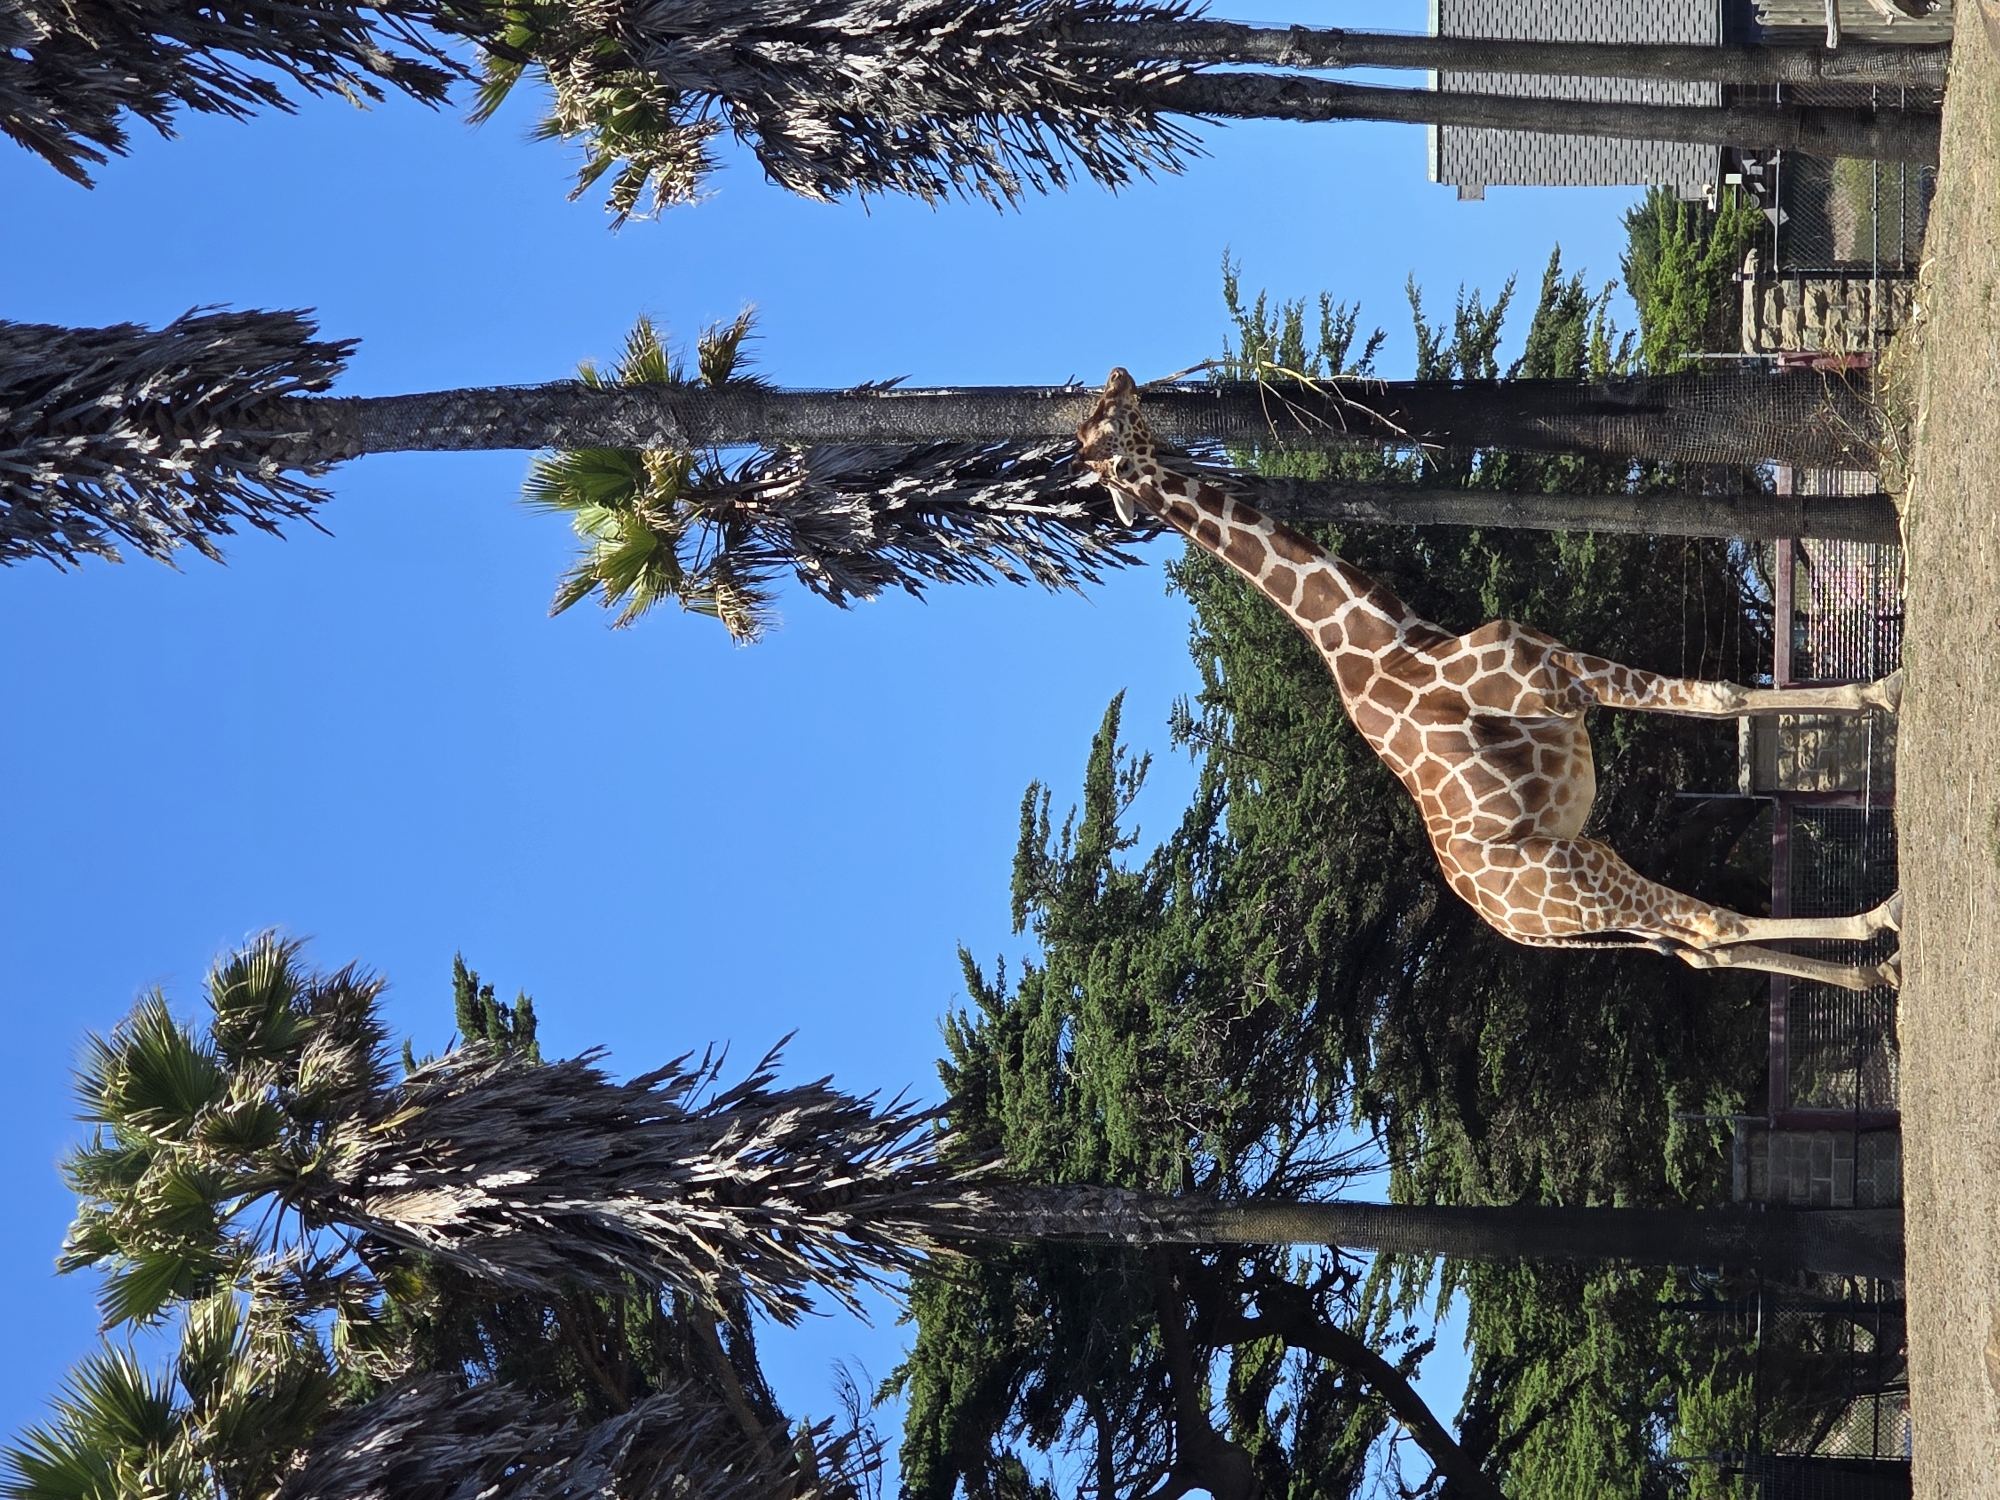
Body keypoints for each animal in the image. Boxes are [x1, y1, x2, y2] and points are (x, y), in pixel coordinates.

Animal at [1076, 369, 1903, 993]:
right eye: (1108, 429)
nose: (1118, 377)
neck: (1392, 640)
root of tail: (1516, 929)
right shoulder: (1562, 681)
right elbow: (1721, 695)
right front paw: (1892, 685)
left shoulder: (1561, 675)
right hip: (1578, 880)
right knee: (1710, 922)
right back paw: (1884, 925)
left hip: (1590, 879)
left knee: (1697, 941)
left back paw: (1873, 972)